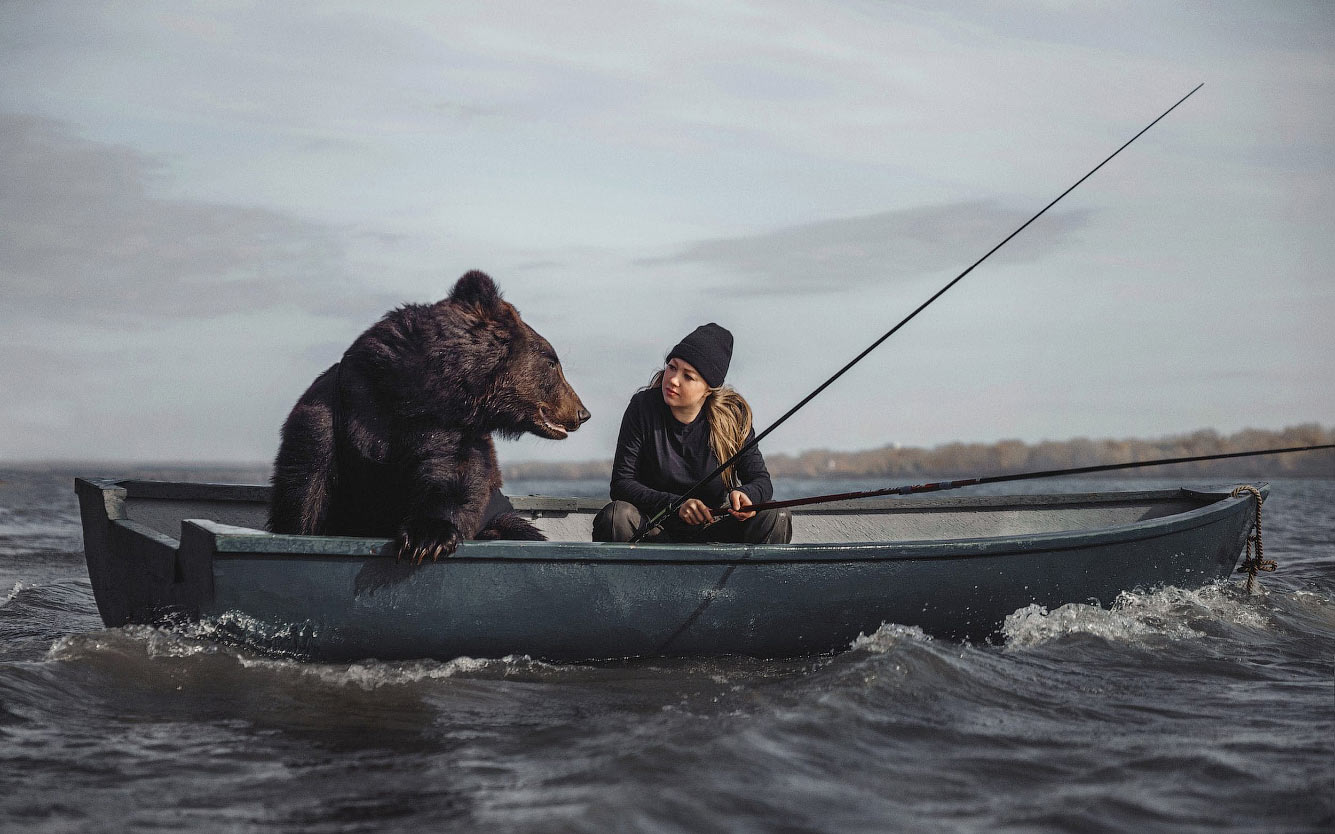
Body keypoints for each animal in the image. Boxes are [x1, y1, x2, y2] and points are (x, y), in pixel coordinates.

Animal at [265, 272, 590, 560]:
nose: (582, 412)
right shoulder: (340, 408)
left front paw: (427, 537)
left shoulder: (450, 430)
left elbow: (451, 477)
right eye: (552, 362)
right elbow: (306, 486)